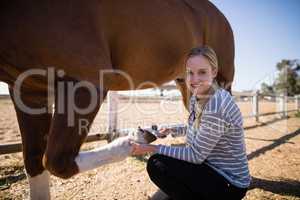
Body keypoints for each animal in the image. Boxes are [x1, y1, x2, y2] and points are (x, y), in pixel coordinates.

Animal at [0, 0, 234, 199]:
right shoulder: (29, 92)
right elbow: (34, 162)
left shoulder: (85, 80)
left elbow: (58, 161)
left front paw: (136, 138)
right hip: (185, 83)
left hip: (222, 80)